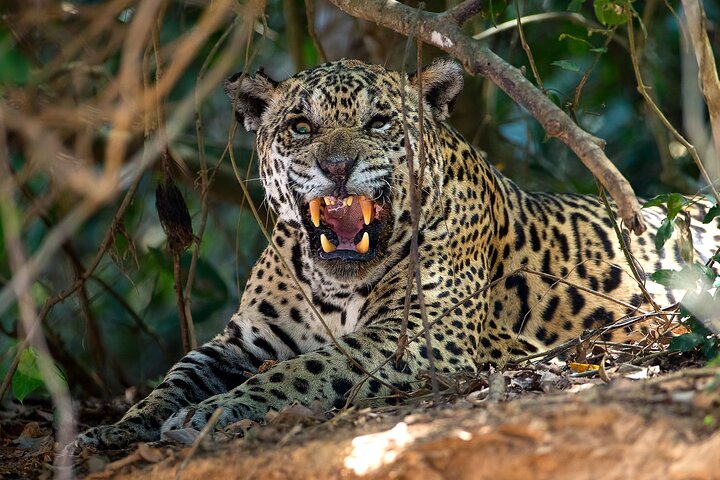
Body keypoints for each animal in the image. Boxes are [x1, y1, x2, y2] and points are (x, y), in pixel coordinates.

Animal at [70, 58, 720, 452]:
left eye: (379, 121)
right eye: (301, 126)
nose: (336, 167)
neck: (332, 284)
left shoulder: (424, 335)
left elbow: (308, 368)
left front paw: (211, 415)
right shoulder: (242, 342)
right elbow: (175, 377)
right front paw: (114, 432)